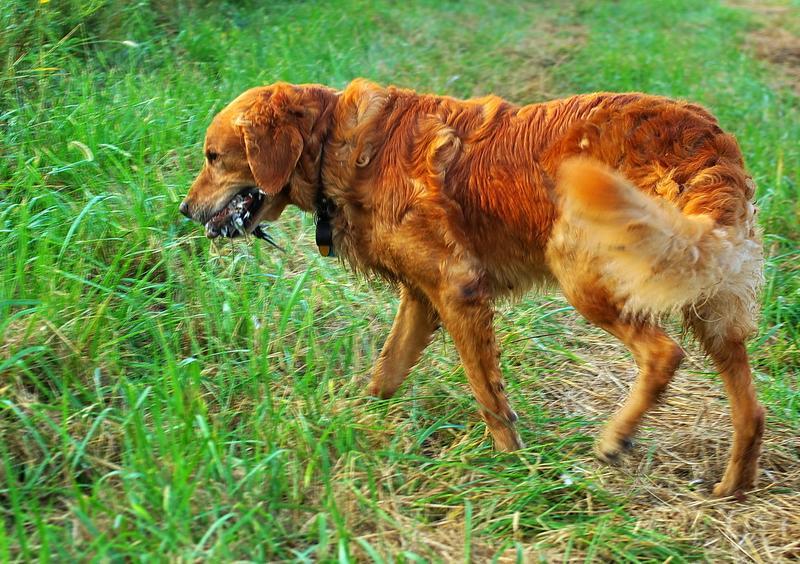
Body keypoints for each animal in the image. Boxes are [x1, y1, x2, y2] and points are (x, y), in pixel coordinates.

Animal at [180, 79, 764, 498]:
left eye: (213, 157)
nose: (184, 210)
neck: (337, 146)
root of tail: (705, 140)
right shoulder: (421, 297)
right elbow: (386, 373)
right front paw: (354, 420)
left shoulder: (457, 290)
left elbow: (486, 393)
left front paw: (512, 464)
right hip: (708, 301)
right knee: (750, 408)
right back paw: (734, 485)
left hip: (585, 269)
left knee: (664, 354)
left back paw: (615, 438)